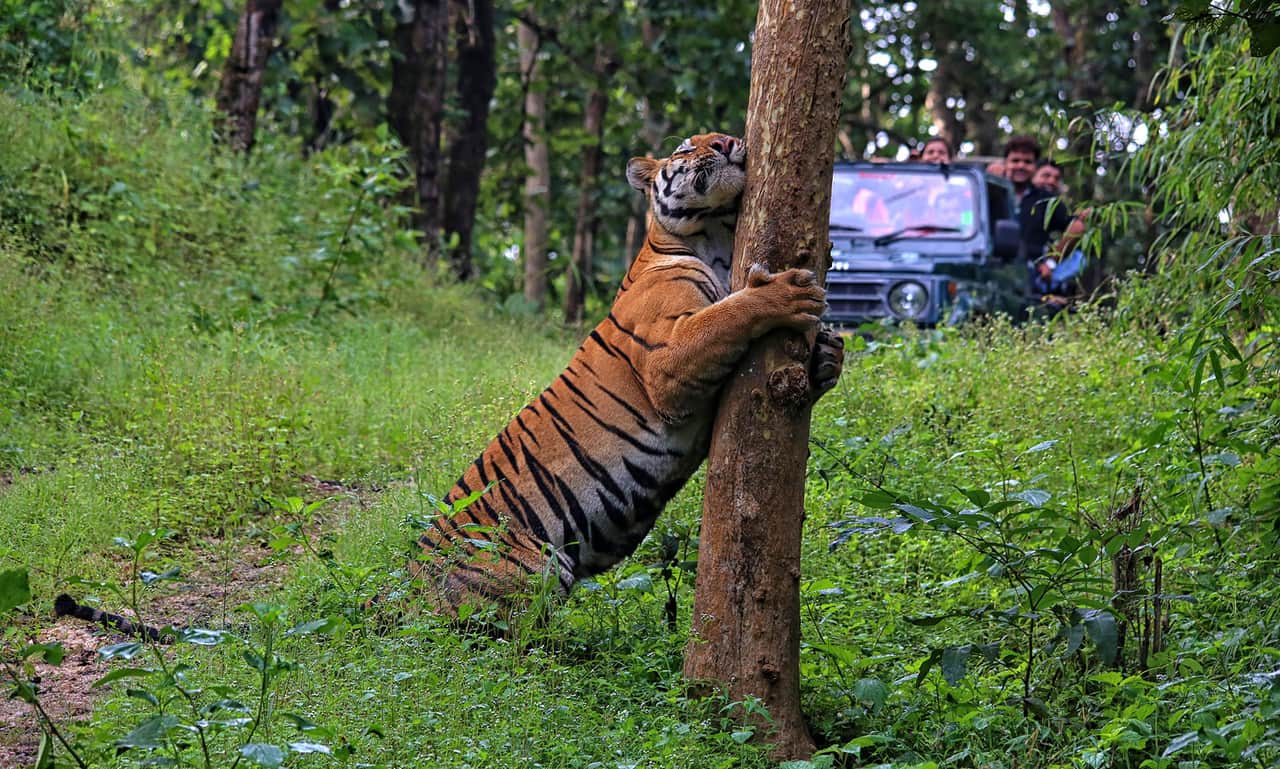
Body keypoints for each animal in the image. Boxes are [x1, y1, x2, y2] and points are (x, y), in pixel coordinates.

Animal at [410, 132, 845, 615]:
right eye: (686, 148)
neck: (717, 239)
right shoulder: (668, 362)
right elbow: (729, 314)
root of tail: (405, 582)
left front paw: (828, 353)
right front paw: (786, 293)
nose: (726, 141)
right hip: (535, 568)